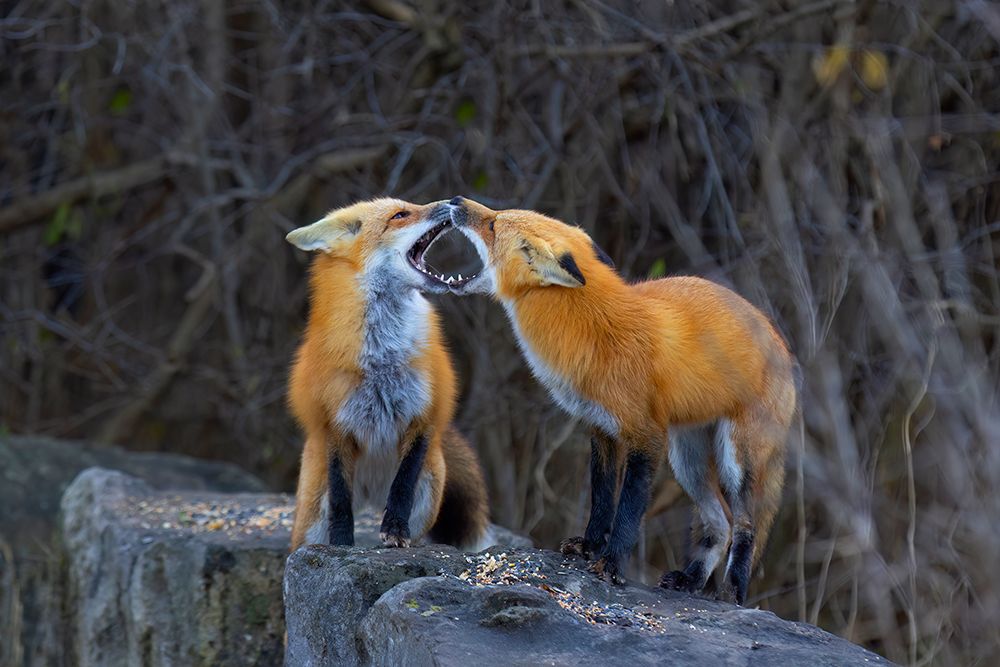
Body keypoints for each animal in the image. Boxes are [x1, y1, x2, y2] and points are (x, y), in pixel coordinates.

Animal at [285, 197, 490, 552]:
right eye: (400, 215)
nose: (452, 201)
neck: (383, 358)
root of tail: (370, 494)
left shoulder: (422, 414)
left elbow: (403, 485)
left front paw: (394, 529)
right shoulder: (334, 424)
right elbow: (340, 500)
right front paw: (342, 544)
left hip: (429, 493)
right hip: (309, 524)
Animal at [416, 196, 797, 605]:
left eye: (493, 224)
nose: (455, 201)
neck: (593, 329)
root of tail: (780, 341)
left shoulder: (646, 436)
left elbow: (628, 508)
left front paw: (612, 564)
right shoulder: (602, 429)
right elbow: (601, 499)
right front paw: (588, 547)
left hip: (734, 460)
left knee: (745, 524)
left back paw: (732, 591)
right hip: (687, 459)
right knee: (719, 522)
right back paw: (691, 580)